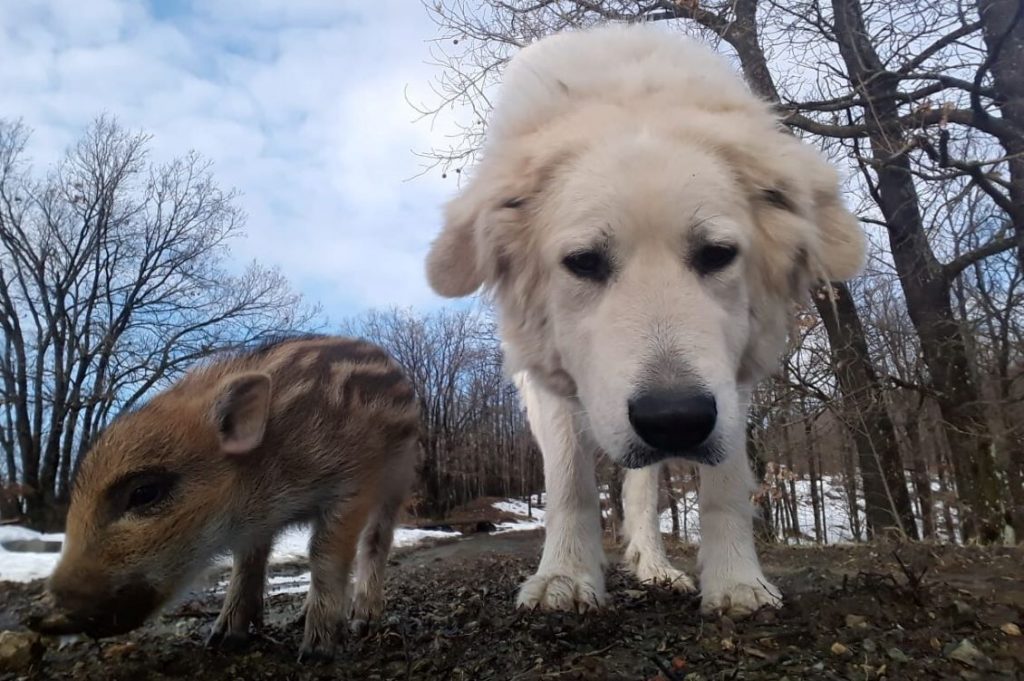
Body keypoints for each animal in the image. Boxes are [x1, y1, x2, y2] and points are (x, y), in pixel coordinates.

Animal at [423, 22, 864, 614]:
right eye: (584, 262)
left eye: (717, 254)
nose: (675, 419)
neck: (631, 95)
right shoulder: (548, 371)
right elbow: (569, 481)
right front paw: (565, 574)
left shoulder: (732, 374)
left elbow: (724, 483)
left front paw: (736, 580)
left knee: (642, 486)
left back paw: (653, 563)